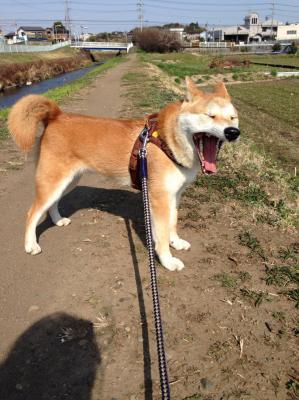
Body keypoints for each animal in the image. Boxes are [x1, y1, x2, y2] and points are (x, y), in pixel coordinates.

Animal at [8, 77, 240, 272]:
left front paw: (175, 242)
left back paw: (57, 221)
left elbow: (172, 223)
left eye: (233, 118)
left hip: (67, 181)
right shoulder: (159, 199)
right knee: (32, 213)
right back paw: (30, 244)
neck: (167, 141)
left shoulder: (175, 195)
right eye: (209, 116)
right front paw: (167, 260)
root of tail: (57, 115)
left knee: (52, 204)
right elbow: (161, 235)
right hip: (53, 181)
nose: (233, 132)